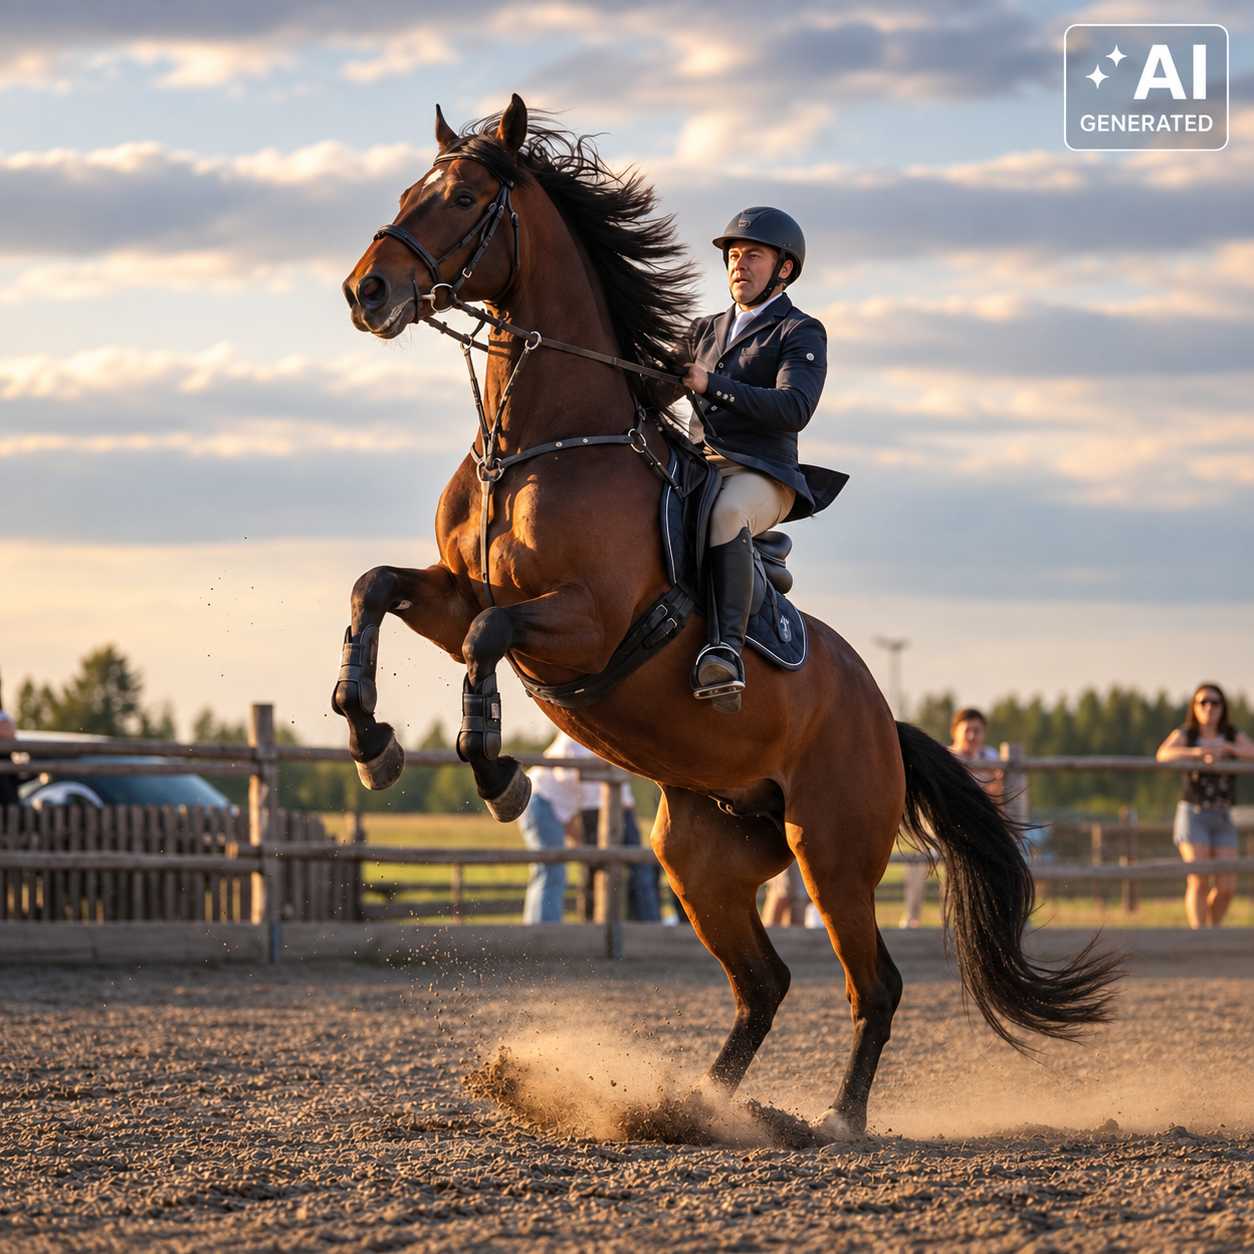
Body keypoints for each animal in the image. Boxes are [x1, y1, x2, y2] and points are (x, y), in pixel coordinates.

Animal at [336, 94, 1118, 1138]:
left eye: (462, 199)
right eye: (406, 192)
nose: (366, 291)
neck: (540, 445)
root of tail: (885, 722)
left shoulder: (583, 622)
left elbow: (483, 640)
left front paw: (497, 771)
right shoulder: (460, 586)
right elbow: (376, 587)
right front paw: (369, 737)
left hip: (830, 852)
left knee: (873, 985)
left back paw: (837, 1121)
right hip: (702, 857)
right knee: (764, 985)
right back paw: (696, 1106)